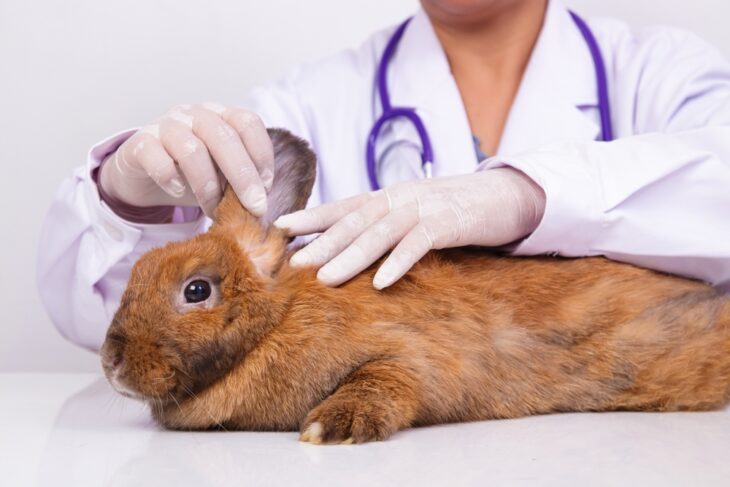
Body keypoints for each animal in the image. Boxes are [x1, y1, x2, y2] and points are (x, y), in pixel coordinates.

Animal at [100, 128, 730, 445]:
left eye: (196, 291)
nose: (110, 362)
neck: (276, 321)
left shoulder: (409, 354)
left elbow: (388, 381)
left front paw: (330, 429)